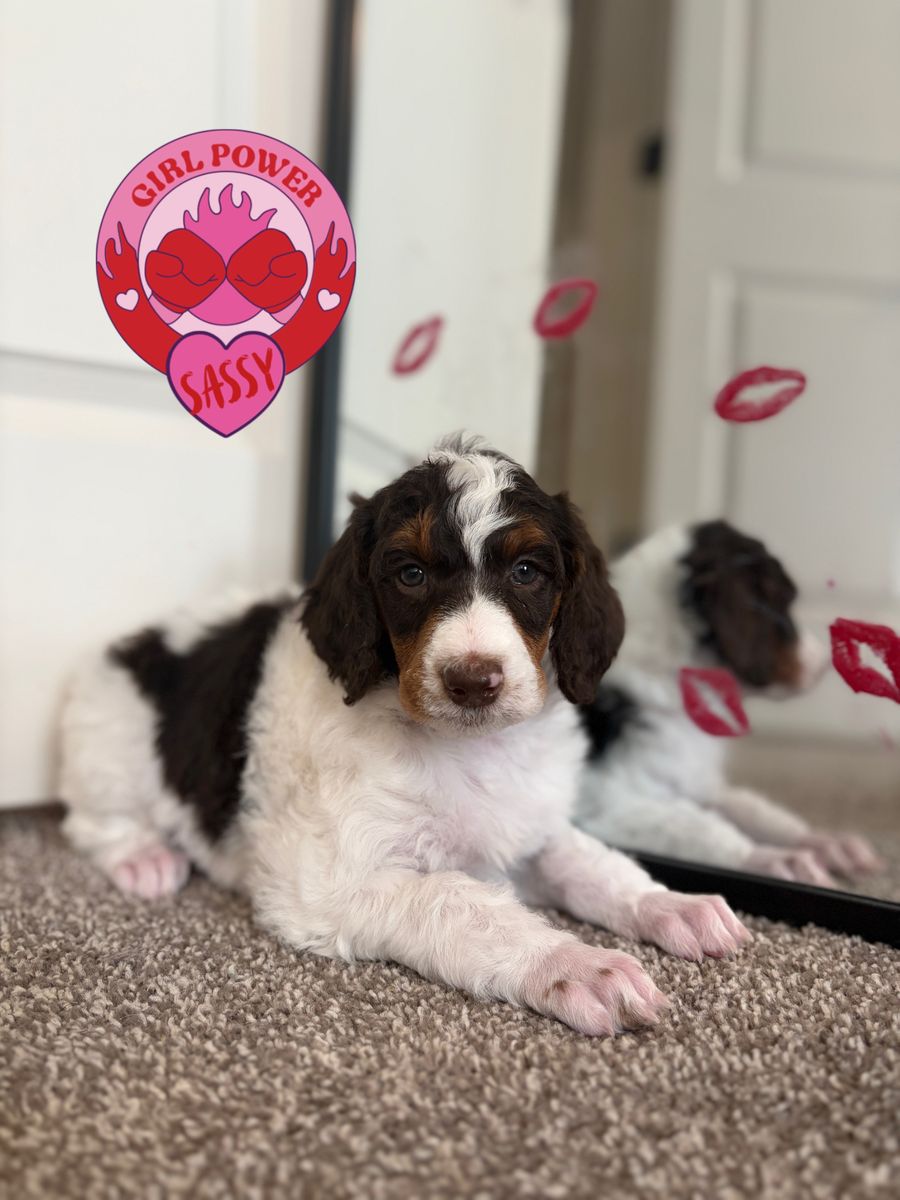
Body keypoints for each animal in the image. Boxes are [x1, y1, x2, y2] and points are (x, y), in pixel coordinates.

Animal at [60, 438, 749, 1038]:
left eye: (527, 571)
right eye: (411, 574)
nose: (473, 681)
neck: (465, 745)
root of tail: (137, 640)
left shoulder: (527, 823)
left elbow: (592, 864)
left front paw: (671, 906)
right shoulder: (329, 879)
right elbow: (459, 902)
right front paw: (580, 966)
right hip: (112, 746)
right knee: (91, 820)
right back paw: (144, 859)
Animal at [576, 521, 885, 887]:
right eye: (779, 605)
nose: (826, 663)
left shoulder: (696, 779)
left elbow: (751, 808)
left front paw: (823, 841)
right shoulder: (606, 804)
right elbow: (697, 828)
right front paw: (773, 858)